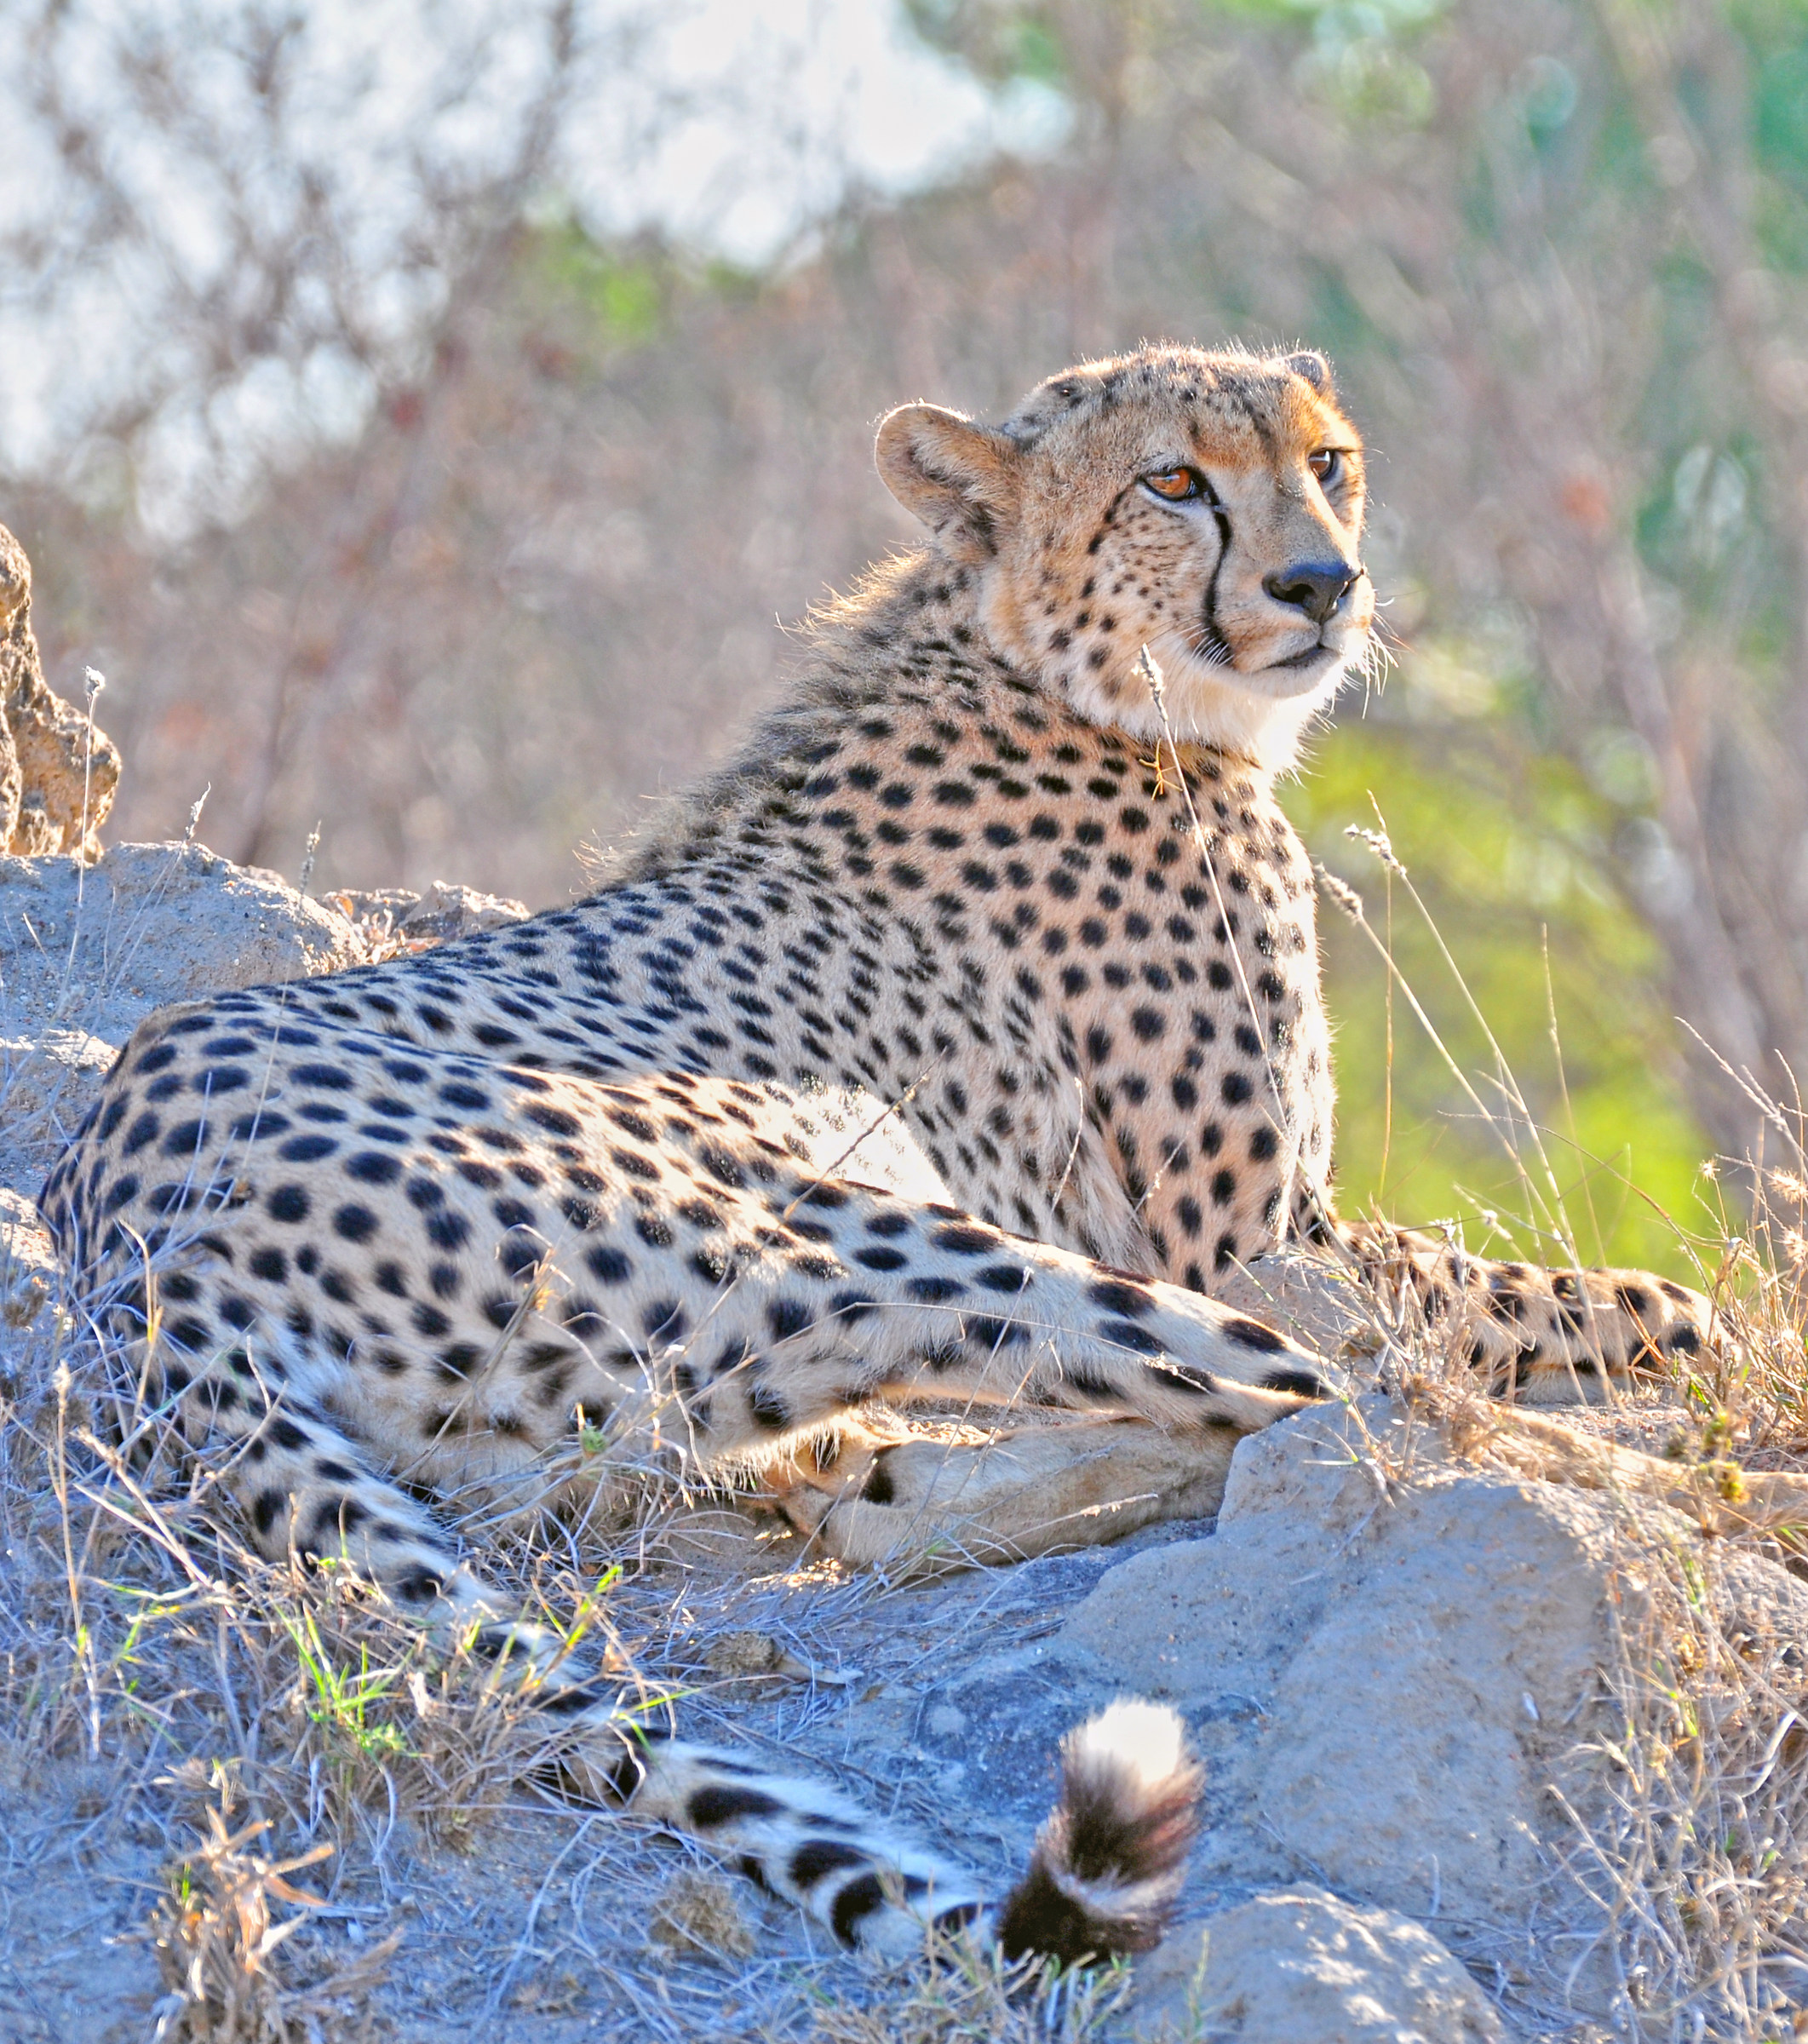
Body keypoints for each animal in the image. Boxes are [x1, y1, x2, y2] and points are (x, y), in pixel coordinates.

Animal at [37, 341, 1721, 1969]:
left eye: (1325, 459)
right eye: (1173, 481)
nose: (1321, 583)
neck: (1041, 662)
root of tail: (122, 1236)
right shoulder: (1256, 1244)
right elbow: (1619, 1306)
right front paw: (1674, 1360)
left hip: (628, 1400)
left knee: (898, 1463)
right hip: (844, 1210)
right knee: (1321, 1405)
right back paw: (1662, 1491)